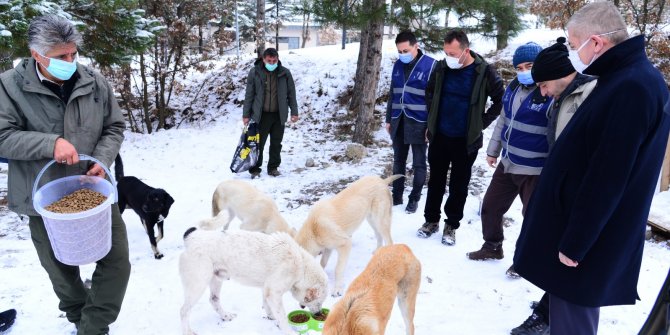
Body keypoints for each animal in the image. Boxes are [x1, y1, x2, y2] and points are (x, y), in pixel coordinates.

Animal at [177, 228, 326, 335]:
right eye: (319, 302)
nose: (319, 314)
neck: (301, 266)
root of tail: (191, 239)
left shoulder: (267, 289)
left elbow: (267, 306)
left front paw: (271, 317)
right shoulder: (274, 292)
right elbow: (282, 317)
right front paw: (287, 330)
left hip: (216, 279)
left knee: (213, 300)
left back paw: (226, 316)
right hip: (198, 284)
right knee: (184, 311)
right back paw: (188, 332)